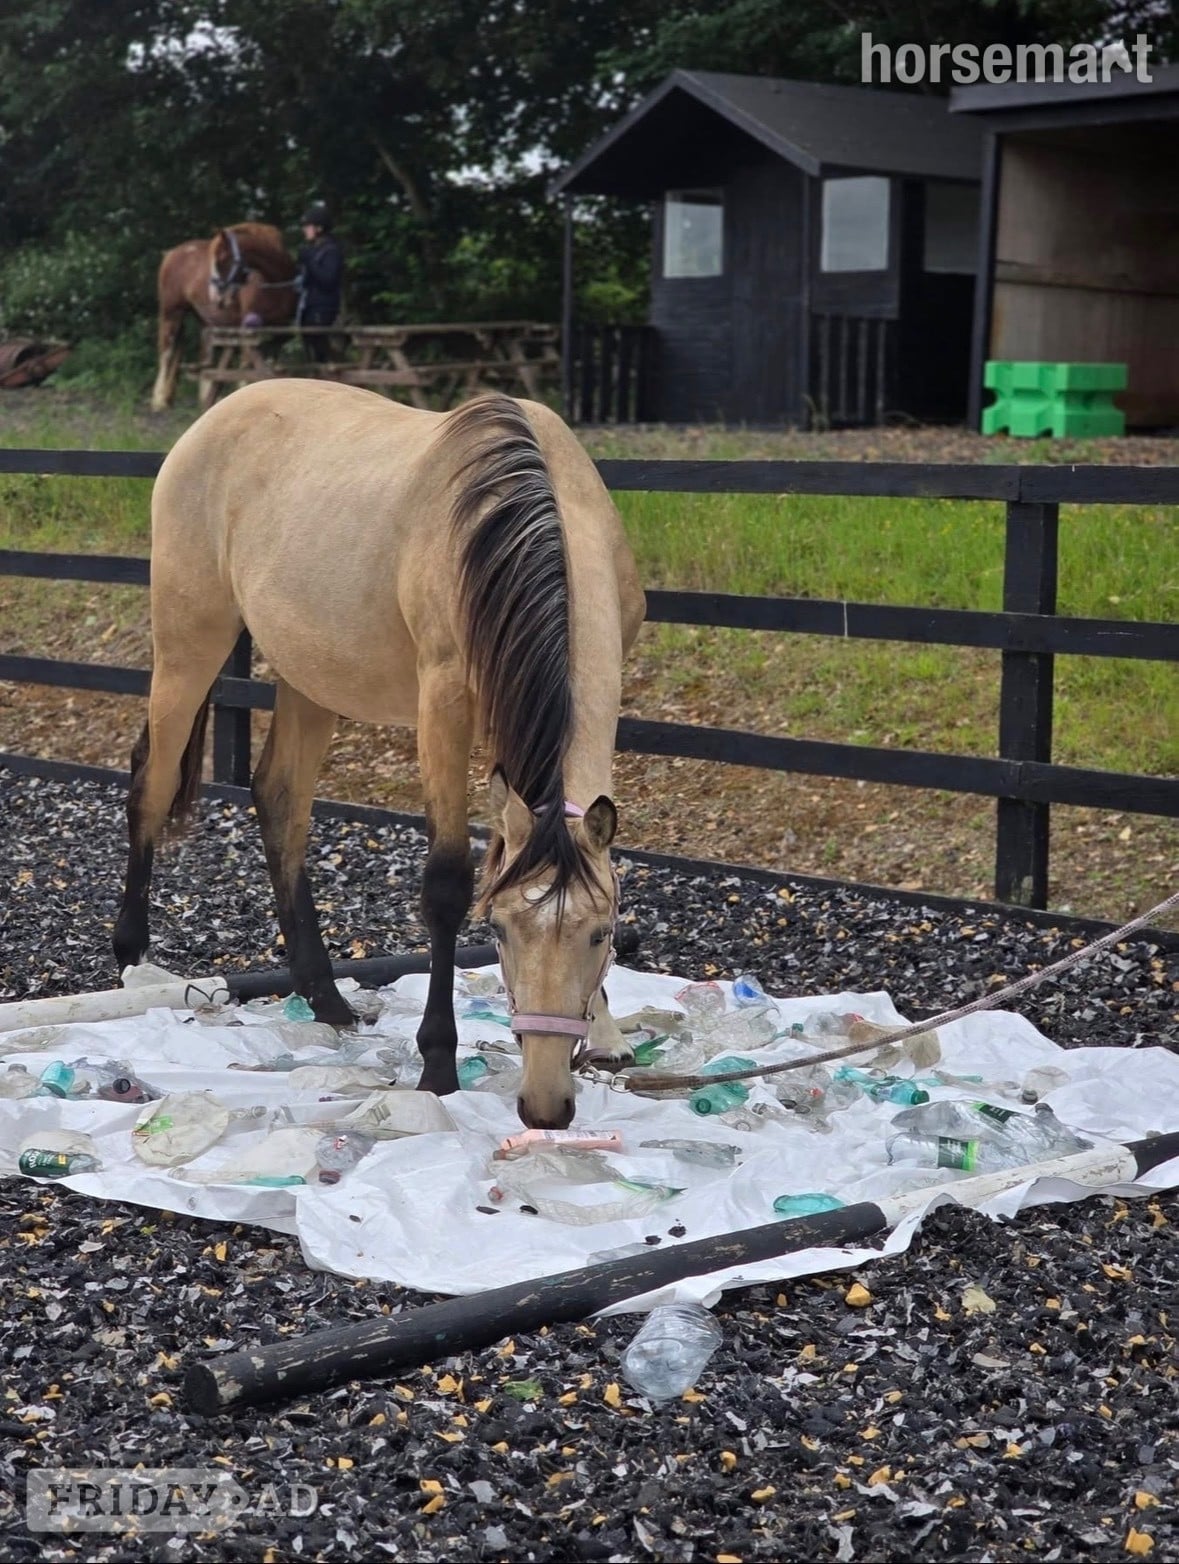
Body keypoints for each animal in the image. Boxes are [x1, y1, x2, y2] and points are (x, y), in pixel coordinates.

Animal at [113, 380, 646, 1129]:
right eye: (499, 932)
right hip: (190, 641)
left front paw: (606, 1033)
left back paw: (326, 996)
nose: (545, 1106)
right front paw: (438, 1062)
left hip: (308, 675)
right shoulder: (443, 704)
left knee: (280, 800)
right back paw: (131, 958)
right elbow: (447, 885)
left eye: (600, 936)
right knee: (153, 784)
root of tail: (216, 416)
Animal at [151, 223, 298, 413]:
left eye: (222, 259)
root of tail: (171, 253)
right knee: (166, 353)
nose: (216, 295)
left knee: (203, 354)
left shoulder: (280, 327)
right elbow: (247, 362)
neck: (273, 283)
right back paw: (160, 400)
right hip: (171, 312)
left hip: (203, 320)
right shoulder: (247, 328)